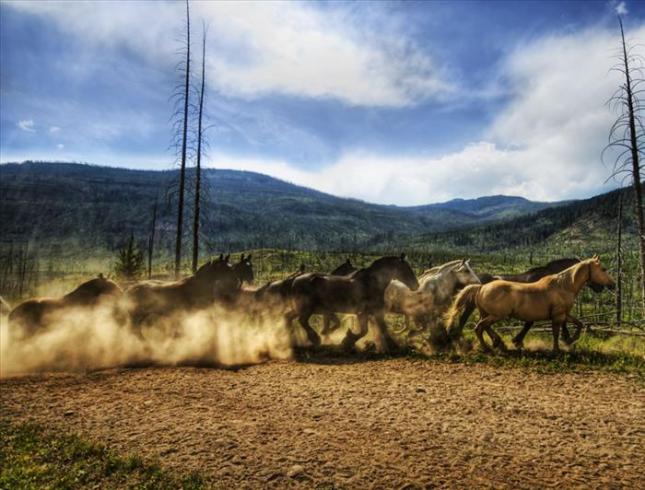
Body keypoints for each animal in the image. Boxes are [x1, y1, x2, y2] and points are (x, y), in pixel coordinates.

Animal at [290, 254, 419, 353]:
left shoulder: (373, 313)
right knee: (302, 321)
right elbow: (365, 331)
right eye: (406, 268)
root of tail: (296, 280)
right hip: (308, 309)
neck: (370, 284)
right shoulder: (364, 313)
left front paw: (395, 347)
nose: (416, 285)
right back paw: (315, 338)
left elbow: (381, 329)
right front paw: (346, 341)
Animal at [444, 256, 615, 353]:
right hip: (496, 315)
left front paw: (568, 341)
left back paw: (496, 344)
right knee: (478, 327)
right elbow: (554, 331)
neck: (563, 285)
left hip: (487, 314)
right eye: (603, 269)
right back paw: (488, 346)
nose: (612, 285)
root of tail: (481, 287)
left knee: (482, 327)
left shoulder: (563, 314)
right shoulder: (557, 315)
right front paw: (557, 348)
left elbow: (579, 324)